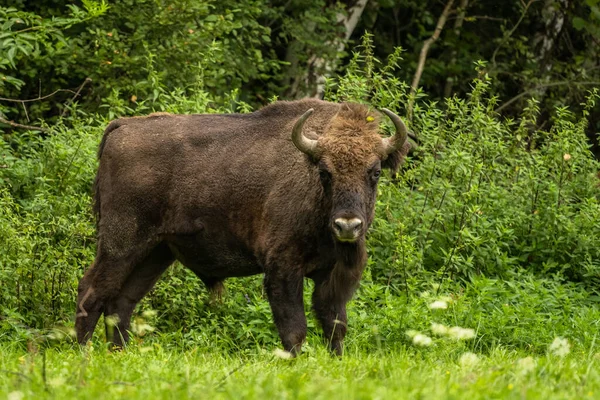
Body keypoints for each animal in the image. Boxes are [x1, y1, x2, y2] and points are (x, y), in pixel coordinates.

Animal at [76, 99, 408, 356]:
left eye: (375, 171)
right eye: (325, 172)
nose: (347, 225)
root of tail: (122, 127)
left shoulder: (332, 276)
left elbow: (334, 327)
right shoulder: (283, 269)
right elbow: (294, 329)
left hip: (156, 252)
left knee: (121, 302)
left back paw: (119, 353)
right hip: (121, 243)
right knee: (91, 292)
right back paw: (83, 354)